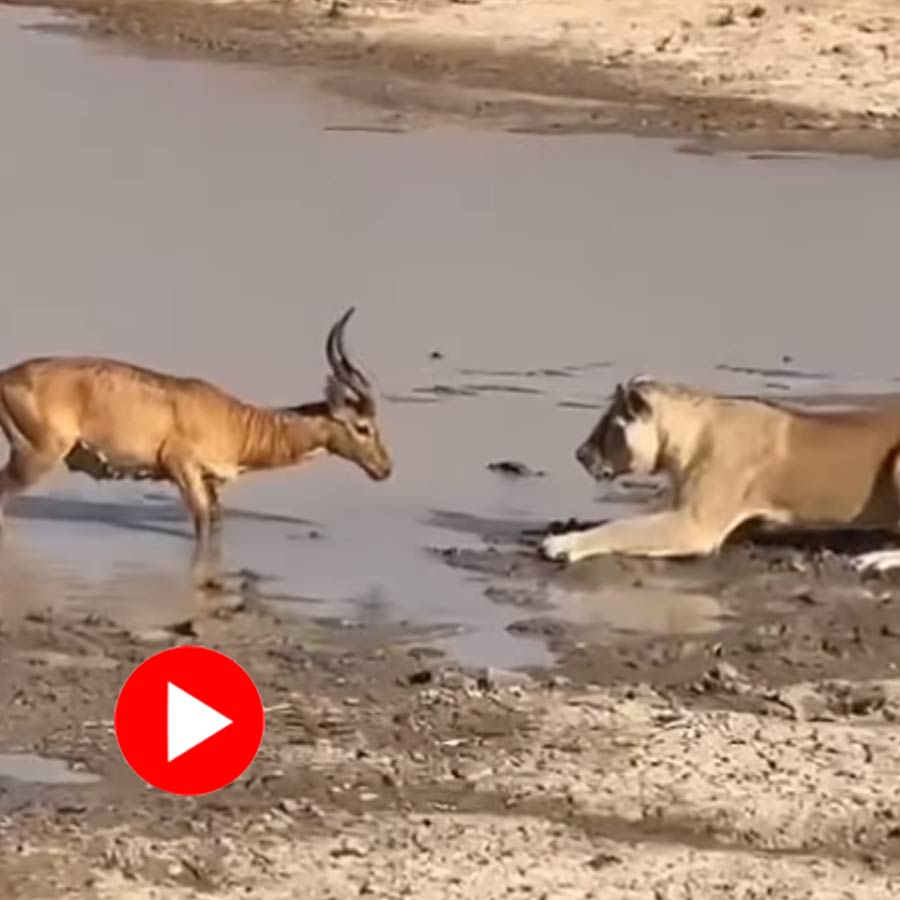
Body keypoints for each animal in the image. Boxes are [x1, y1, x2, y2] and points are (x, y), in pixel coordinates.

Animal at [0, 307, 392, 543]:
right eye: (362, 427)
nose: (385, 468)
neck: (239, 423)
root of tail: (6, 376)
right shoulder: (182, 467)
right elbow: (201, 523)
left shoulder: (211, 481)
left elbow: (215, 523)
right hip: (35, 457)